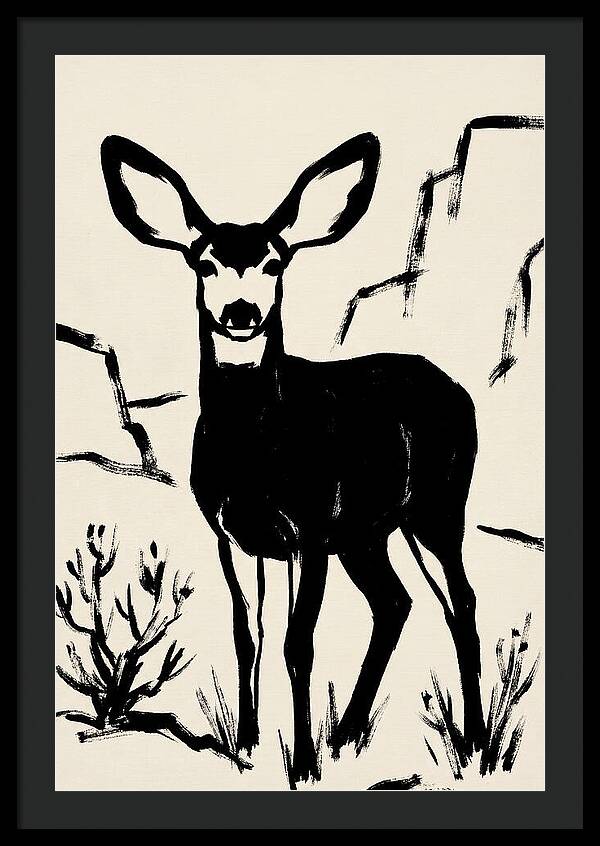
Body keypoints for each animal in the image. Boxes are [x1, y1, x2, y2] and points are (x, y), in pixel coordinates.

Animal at [100, 132, 486, 783]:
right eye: (204, 262)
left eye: (274, 262)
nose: (241, 313)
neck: (256, 451)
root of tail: (457, 390)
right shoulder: (231, 533)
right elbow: (246, 637)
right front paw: (248, 746)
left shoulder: (308, 530)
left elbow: (297, 643)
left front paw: (302, 765)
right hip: (366, 532)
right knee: (396, 602)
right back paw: (349, 734)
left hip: (436, 507)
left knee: (461, 604)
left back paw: (476, 746)